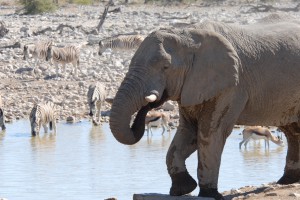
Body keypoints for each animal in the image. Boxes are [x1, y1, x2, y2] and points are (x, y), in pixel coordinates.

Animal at [109, 13, 300, 199]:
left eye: (165, 67)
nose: (151, 102)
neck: (188, 35)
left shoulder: (232, 86)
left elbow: (210, 133)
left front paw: (210, 194)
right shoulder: (193, 87)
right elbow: (188, 132)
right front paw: (182, 189)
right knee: (292, 130)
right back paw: (286, 181)